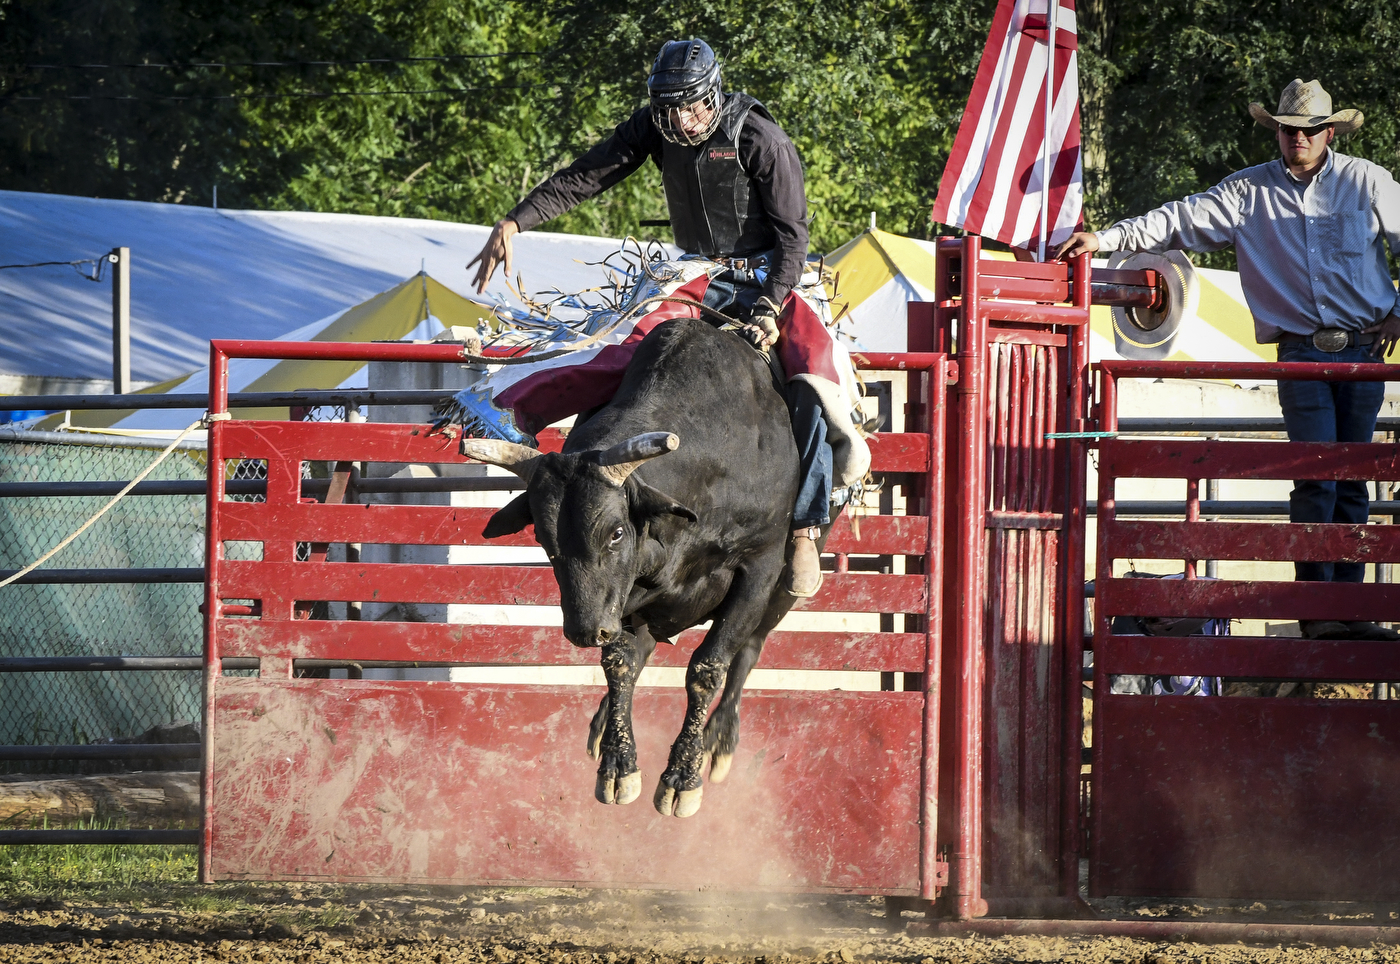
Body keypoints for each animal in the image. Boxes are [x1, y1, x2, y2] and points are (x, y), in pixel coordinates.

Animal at [459, 319, 828, 817]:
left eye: (616, 532)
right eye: (542, 538)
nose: (583, 631)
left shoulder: (758, 567)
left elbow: (708, 668)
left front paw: (683, 777)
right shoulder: (623, 596)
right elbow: (619, 663)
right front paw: (619, 766)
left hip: (782, 592)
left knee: (748, 650)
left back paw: (719, 741)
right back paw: (602, 726)